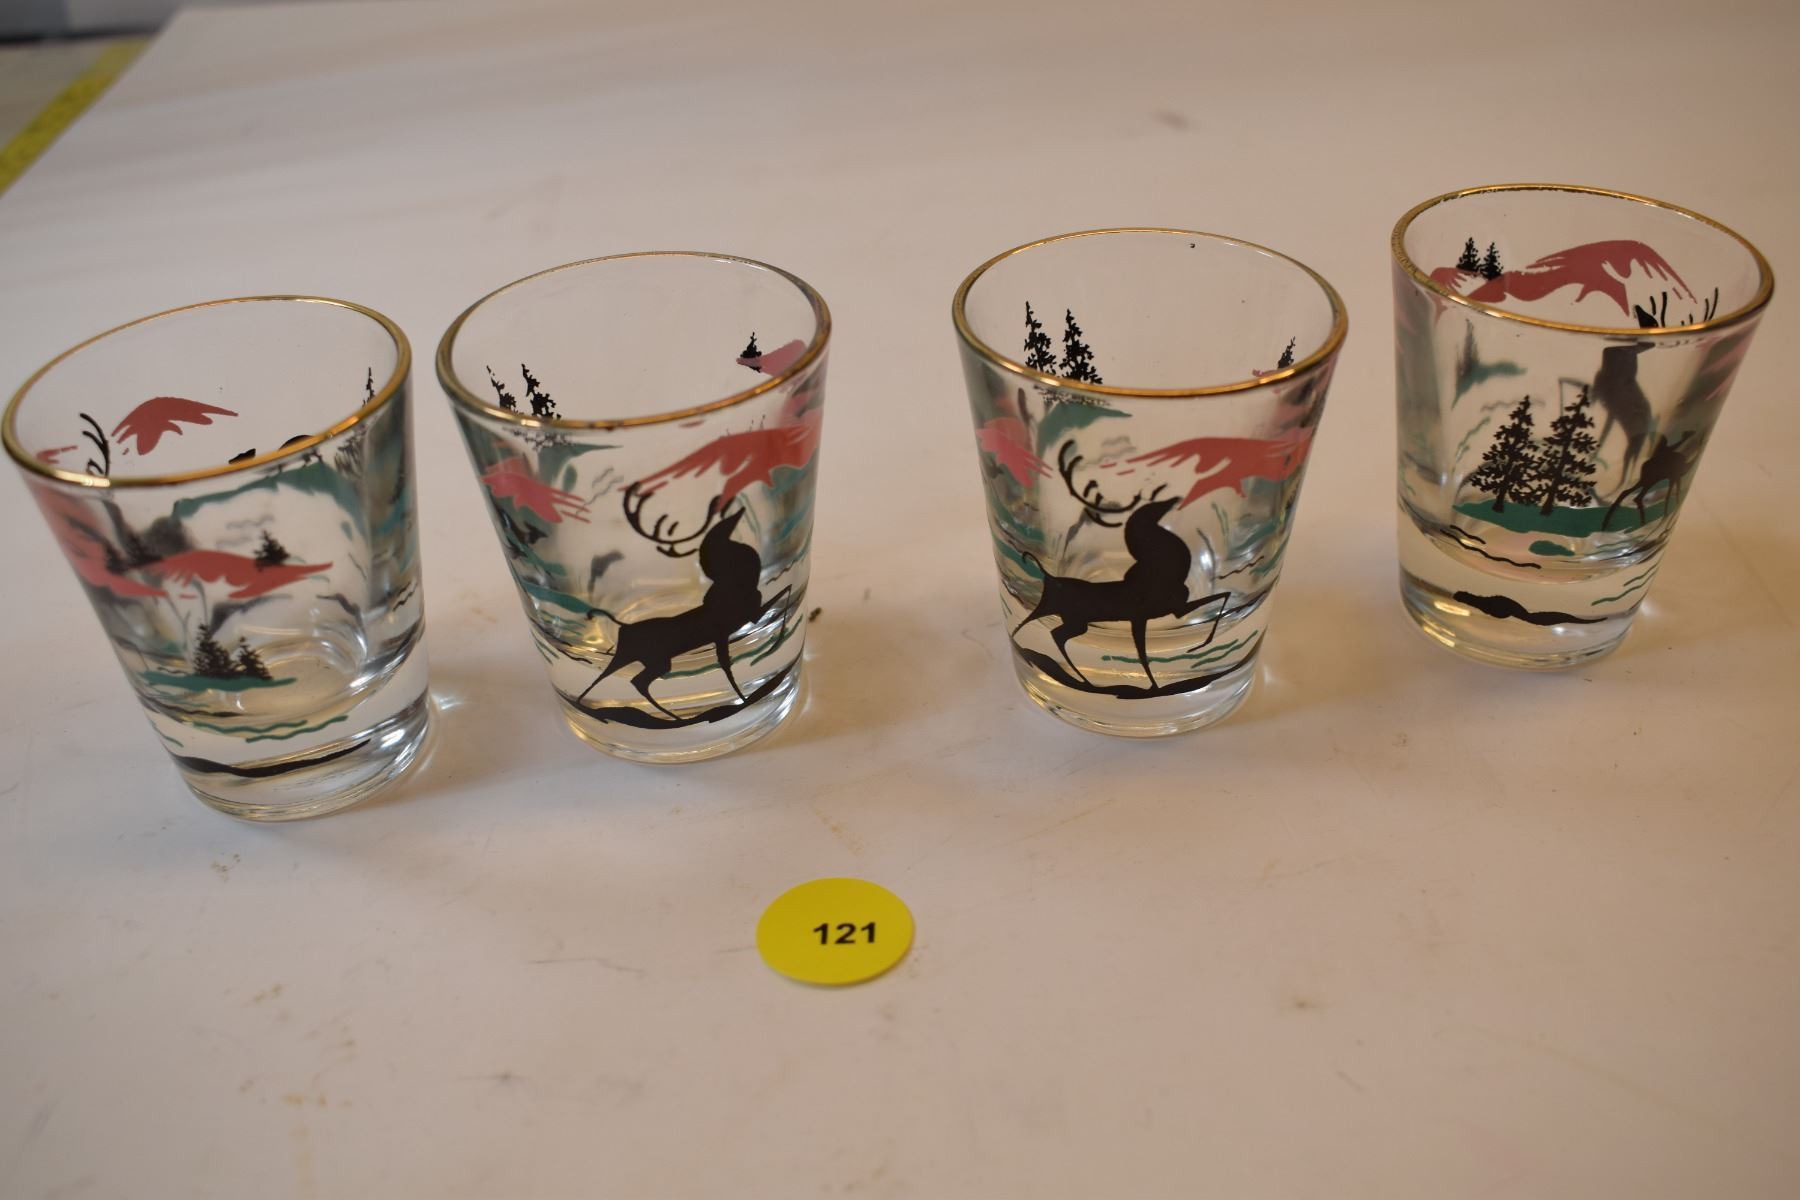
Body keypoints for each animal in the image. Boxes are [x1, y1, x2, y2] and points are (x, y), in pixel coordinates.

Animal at [576, 506, 786, 718]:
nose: (740, 510)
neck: (737, 582)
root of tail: (624, 625)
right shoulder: (731, 628)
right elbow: (728, 666)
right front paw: (745, 698)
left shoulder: (739, 624)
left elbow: (785, 593)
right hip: (649, 660)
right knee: (630, 681)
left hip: (640, 659)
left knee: (621, 679)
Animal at [1013, 466, 1228, 689]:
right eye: (1153, 507)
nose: (1176, 498)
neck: (1165, 569)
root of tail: (1048, 577)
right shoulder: (1142, 616)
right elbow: (1142, 655)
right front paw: (1154, 685)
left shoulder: (1175, 609)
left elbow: (1224, 596)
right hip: (1065, 616)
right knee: (1044, 631)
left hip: (1070, 619)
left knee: (1050, 632)